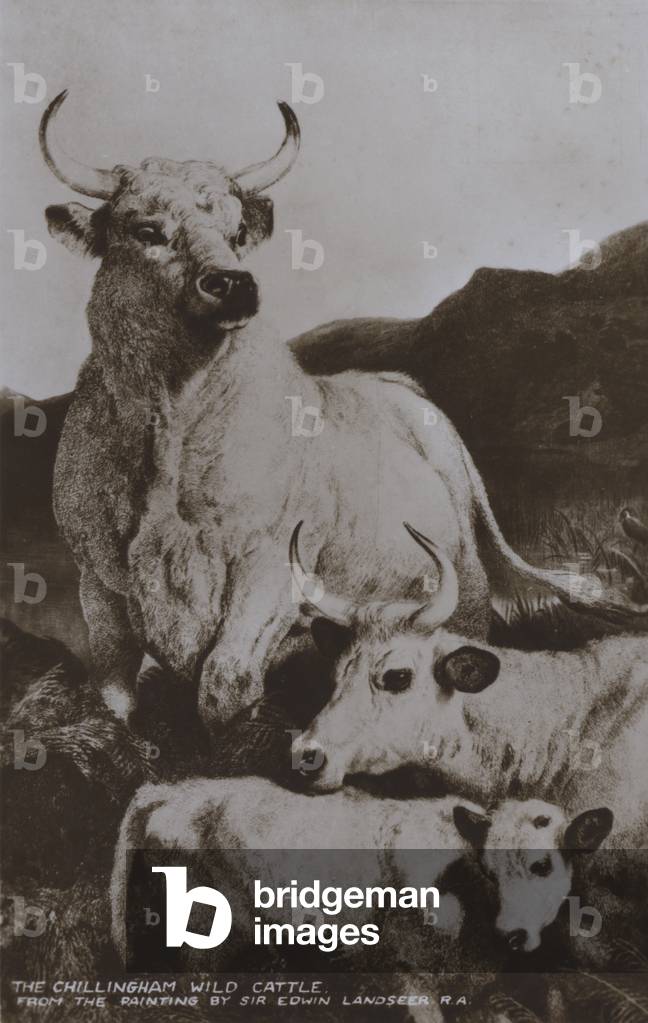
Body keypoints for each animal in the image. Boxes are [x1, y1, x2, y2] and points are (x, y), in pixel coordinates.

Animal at [42, 92, 641, 730]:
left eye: (236, 230)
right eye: (147, 229)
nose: (233, 283)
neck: (172, 436)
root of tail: (412, 400)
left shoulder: (270, 571)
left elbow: (225, 683)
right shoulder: (98, 586)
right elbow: (112, 696)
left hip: (462, 593)